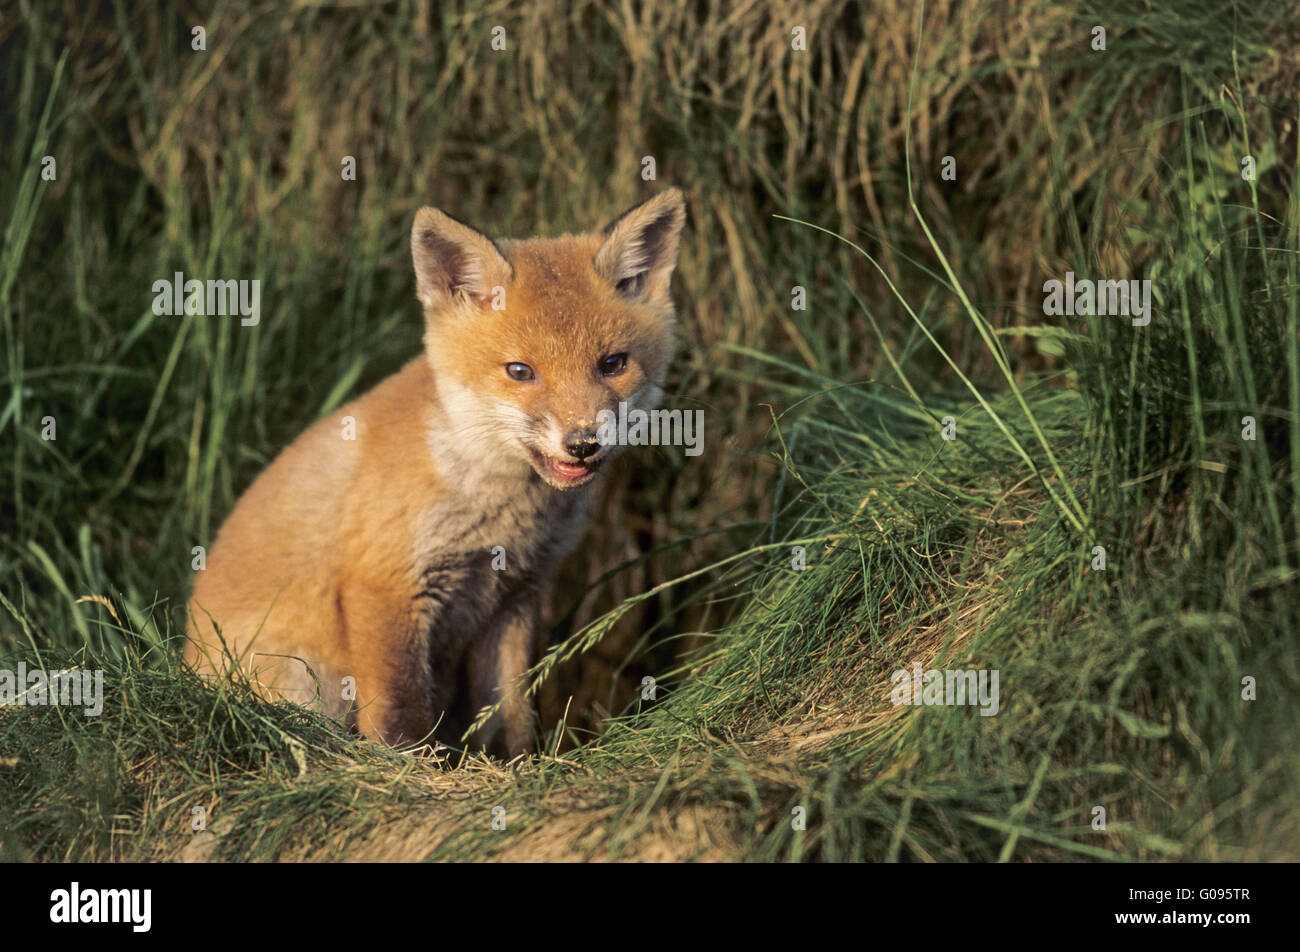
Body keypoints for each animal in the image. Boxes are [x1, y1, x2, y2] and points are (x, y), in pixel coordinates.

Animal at [188, 189, 691, 754]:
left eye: (612, 364)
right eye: (520, 371)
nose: (583, 443)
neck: (498, 512)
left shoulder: (514, 597)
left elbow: (511, 711)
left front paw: (518, 765)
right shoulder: (386, 588)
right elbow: (401, 714)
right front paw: (408, 766)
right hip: (304, 676)